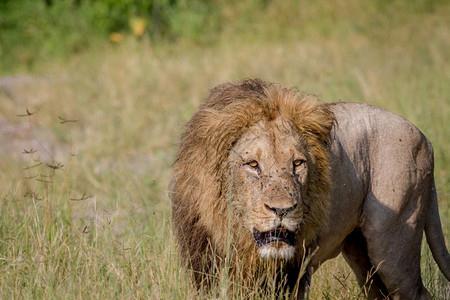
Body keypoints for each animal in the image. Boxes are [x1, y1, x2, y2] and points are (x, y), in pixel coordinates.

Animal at [171, 78, 448, 298]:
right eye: (252, 164)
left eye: (298, 163)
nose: (282, 210)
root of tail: (424, 138)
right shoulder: (206, 267)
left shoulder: (294, 273)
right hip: (363, 259)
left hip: (392, 249)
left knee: (417, 292)